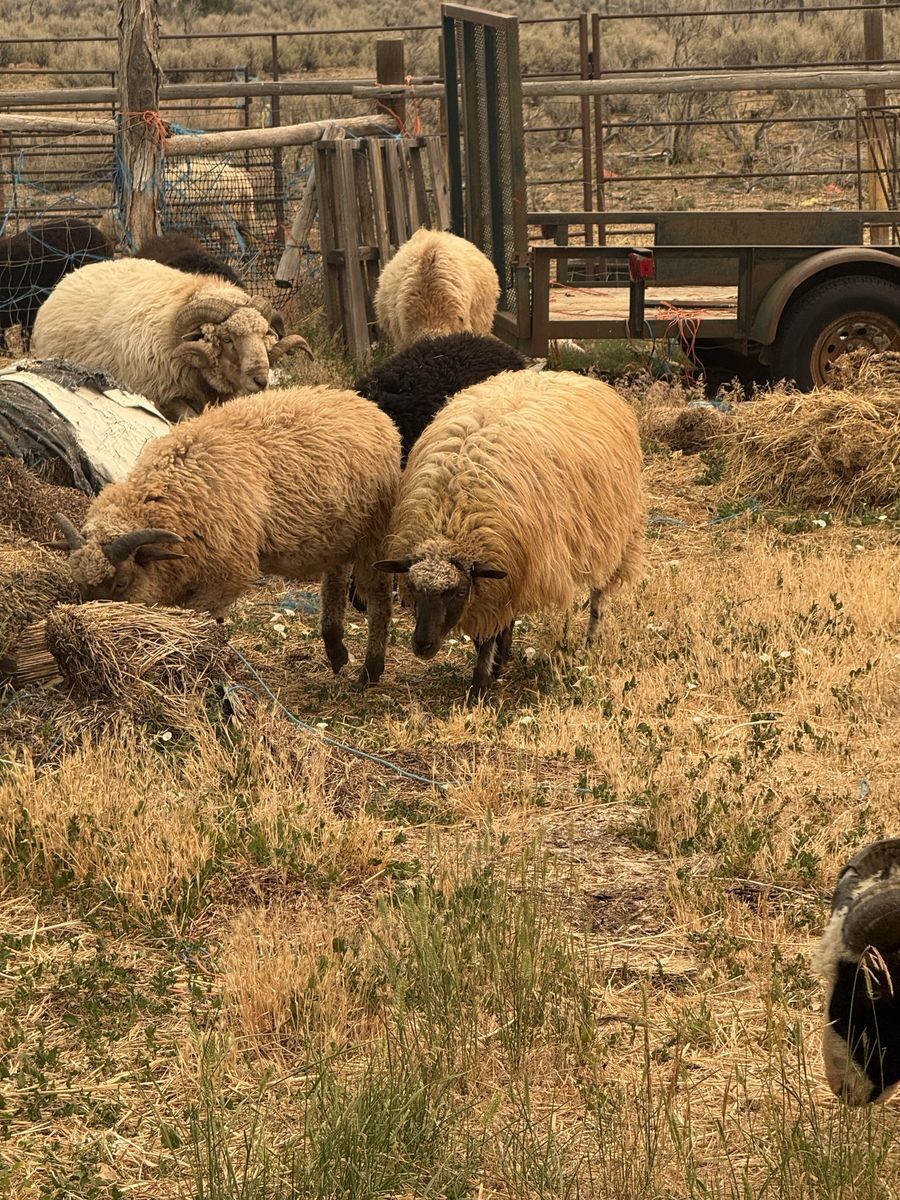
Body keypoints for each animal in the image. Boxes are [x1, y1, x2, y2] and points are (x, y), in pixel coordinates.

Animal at [50, 386, 401, 686]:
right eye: (80, 586)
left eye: (121, 583)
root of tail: (364, 404)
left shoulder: (226, 573)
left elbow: (202, 624)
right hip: (339, 534)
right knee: (335, 581)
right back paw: (336, 650)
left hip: (372, 533)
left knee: (379, 596)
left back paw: (370, 672)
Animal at [373, 369, 645, 702]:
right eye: (411, 588)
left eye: (458, 593)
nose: (423, 646)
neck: (450, 521)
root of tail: (567, 374)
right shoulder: (499, 577)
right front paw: (496, 666)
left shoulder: (498, 579)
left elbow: (488, 635)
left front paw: (480, 685)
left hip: (614, 533)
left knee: (600, 593)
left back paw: (591, 641)